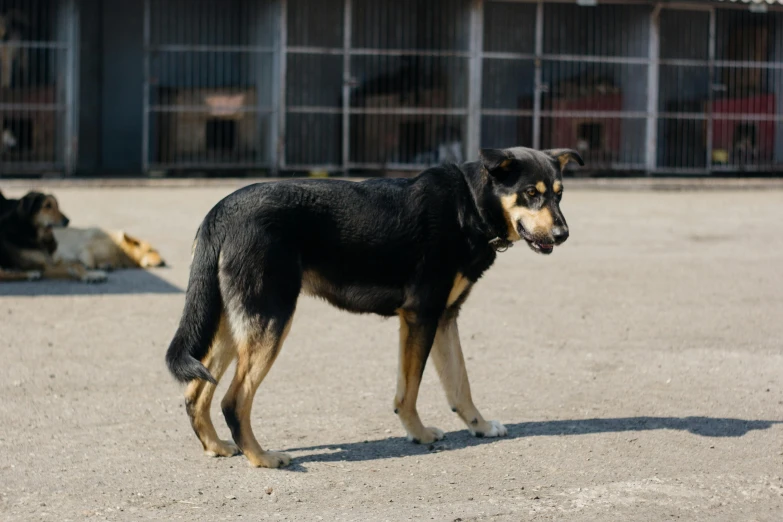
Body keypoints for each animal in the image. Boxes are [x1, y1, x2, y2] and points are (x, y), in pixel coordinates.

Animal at [165, 145, 580, 468]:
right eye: (530, 193)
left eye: (559, 194)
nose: (562, 234)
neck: (471, 204)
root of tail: (219, 212)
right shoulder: (421, 316)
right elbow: (410, 390)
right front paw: (419, 433)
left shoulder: (444, 318)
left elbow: (460, 384)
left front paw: (479, 426)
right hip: (271, 318)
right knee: (234, 400)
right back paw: (262, 457)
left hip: (232, 324)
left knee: (196, 392)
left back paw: (217, 446)